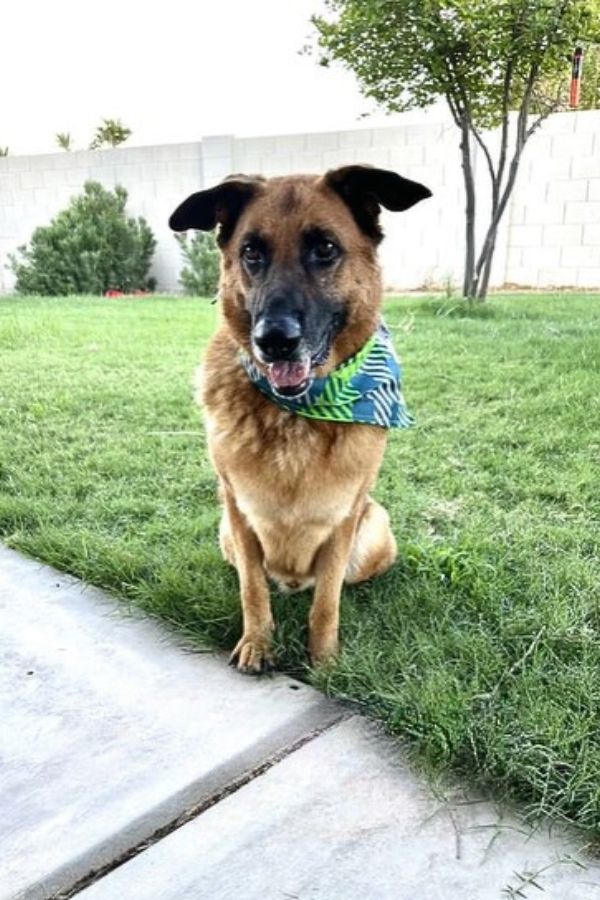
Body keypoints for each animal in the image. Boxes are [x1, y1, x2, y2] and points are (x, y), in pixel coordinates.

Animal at [169, 165, 432, 672]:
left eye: (325, 248)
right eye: (251, 252)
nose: (273, 340)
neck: (300, 412)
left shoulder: (345, 519)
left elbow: (327, 601)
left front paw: (325, 661)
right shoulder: (237, 512)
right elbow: (252, 589)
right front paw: (258, 643)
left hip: (374, 530)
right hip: (227, 534)